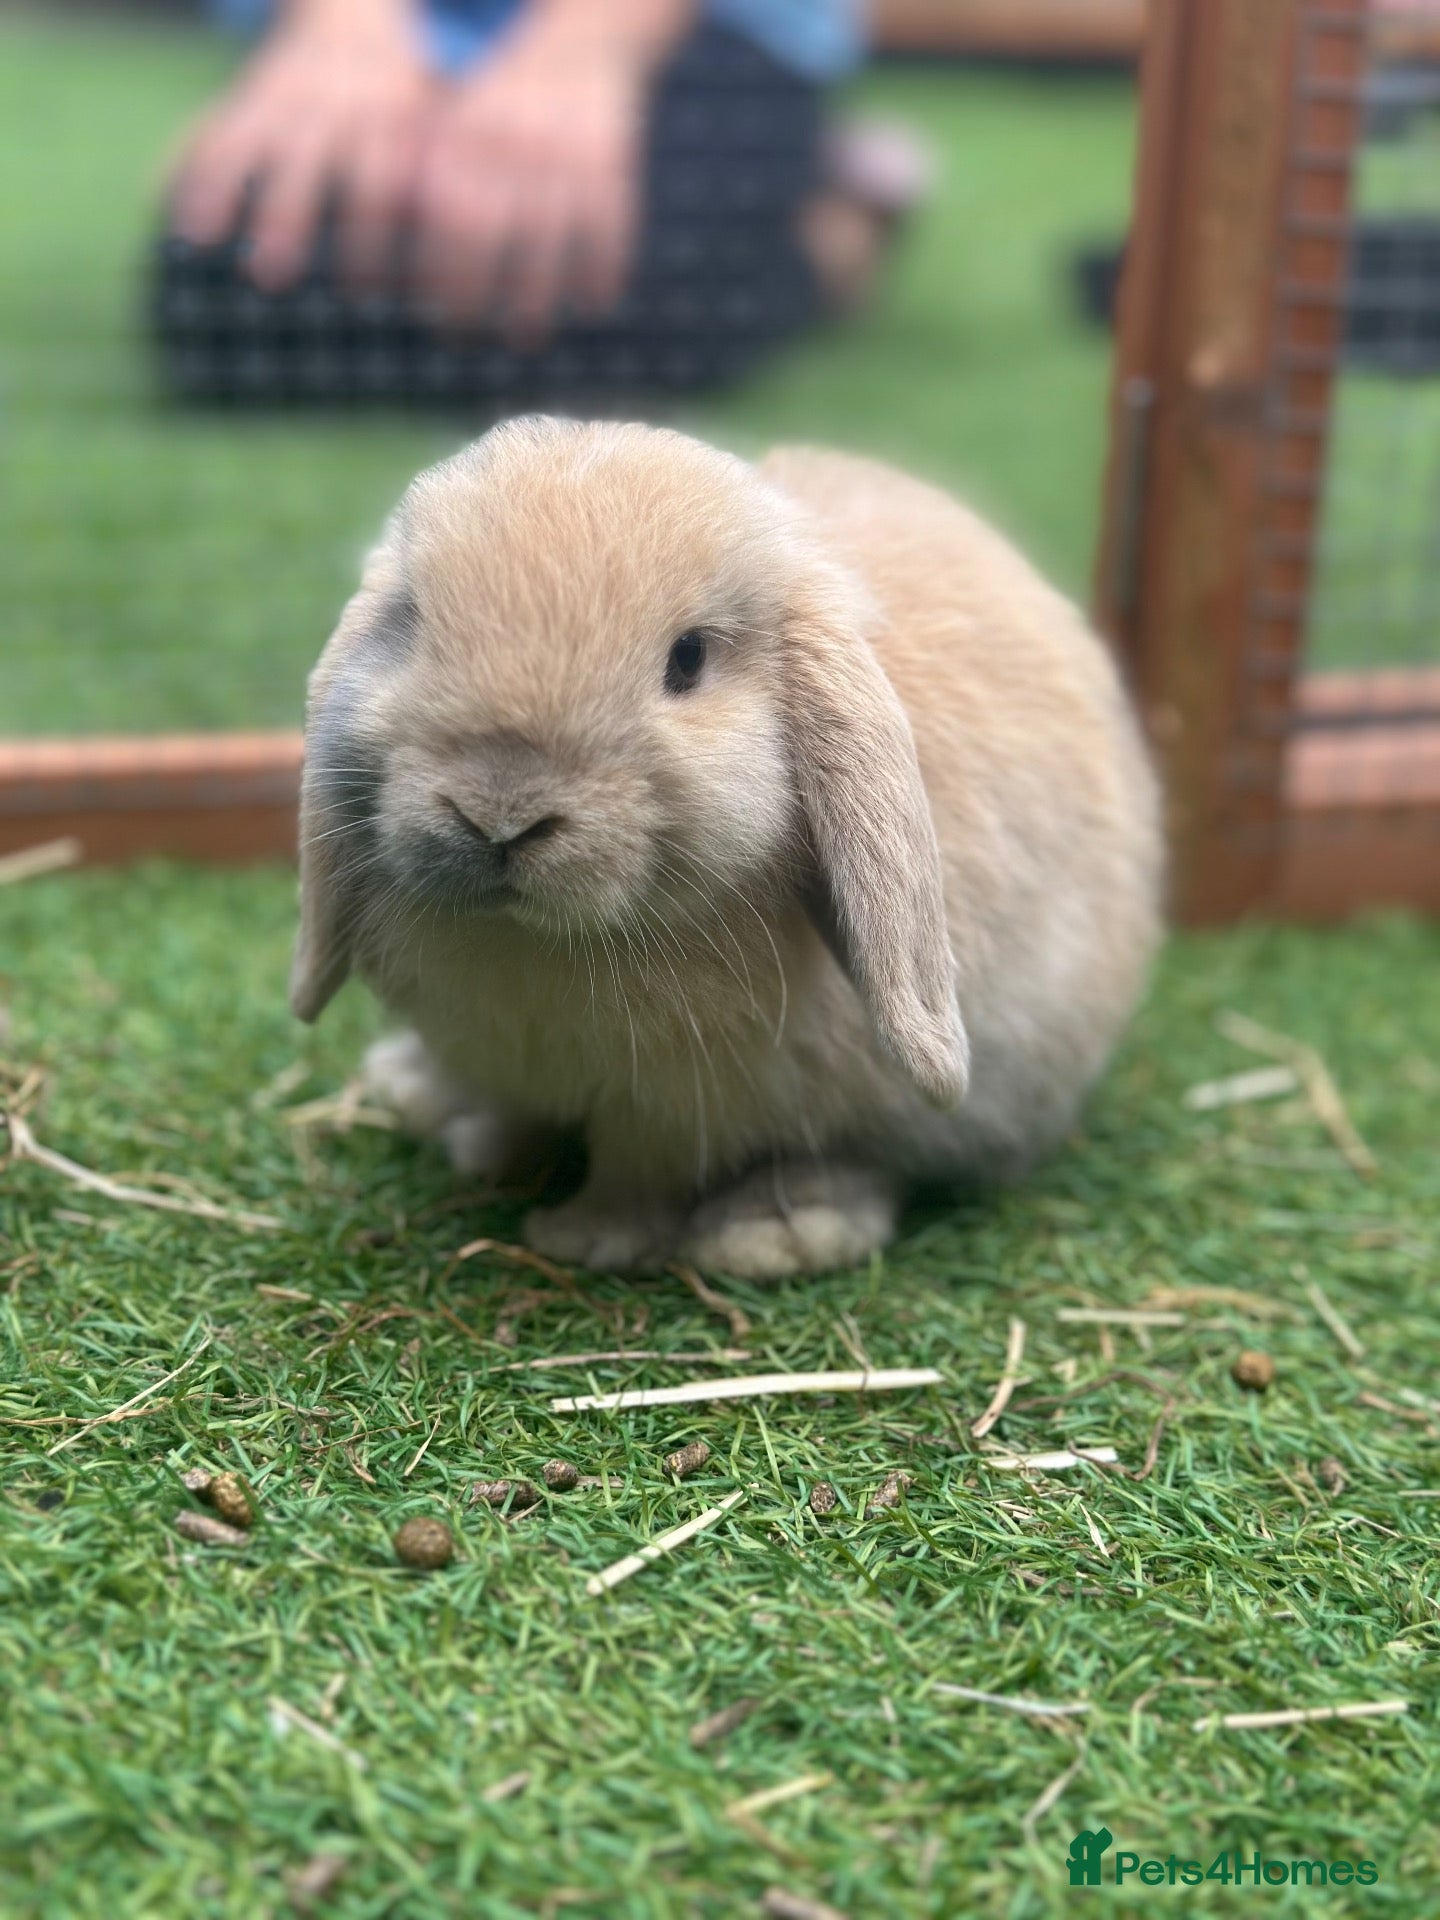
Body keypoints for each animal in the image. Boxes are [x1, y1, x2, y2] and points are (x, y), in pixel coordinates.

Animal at [292, 416, 1162, 1279]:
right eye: (411, 620)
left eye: (688, 659)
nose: (499, 812)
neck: (538, 937)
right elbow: (516, 1111)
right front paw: (486, 1147)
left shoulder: (671, 1105)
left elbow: (639, 1171)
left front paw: (589, 1241)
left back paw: (777, 1230)